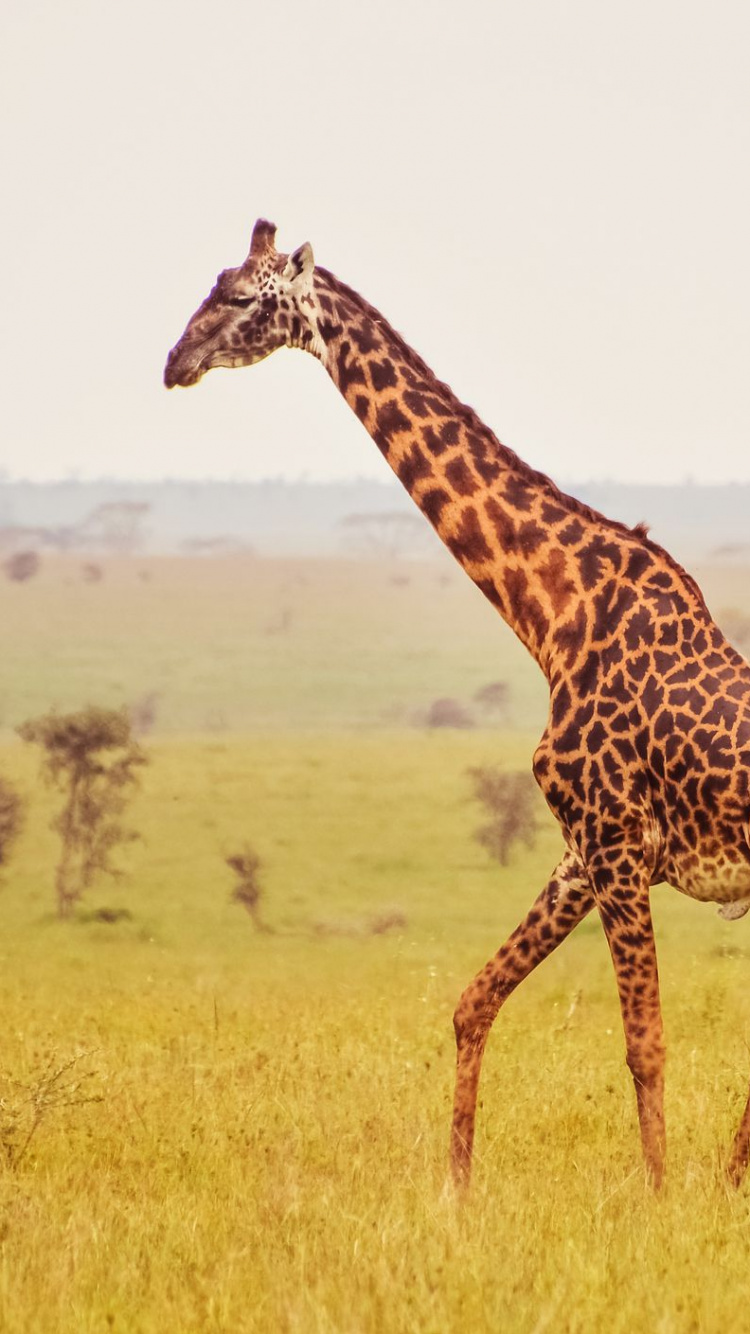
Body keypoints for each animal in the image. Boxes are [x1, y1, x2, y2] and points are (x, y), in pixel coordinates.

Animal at [165, 219, 750, 1190]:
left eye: (243, 296)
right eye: (209, 283)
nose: (175, 362)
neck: (553, 610)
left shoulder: (618, 841)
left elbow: (645, 1045)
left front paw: (659, 1197)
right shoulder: (580, 852)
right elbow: (473, 1001)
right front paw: (455, 1188)